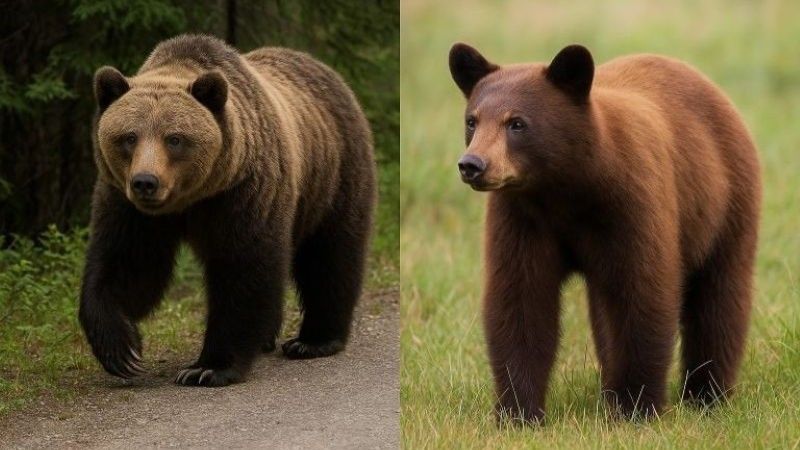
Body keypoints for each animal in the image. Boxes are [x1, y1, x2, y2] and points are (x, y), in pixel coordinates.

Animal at [79, 34, 376, 387]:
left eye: (174, 138)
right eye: (129, 137)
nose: (145, 182)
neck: (190, 199)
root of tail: (328, 72)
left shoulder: (244, 192)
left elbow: (243, 269)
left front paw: (208, 367)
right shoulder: (128, 206)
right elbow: (127, 264)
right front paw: (123, 351)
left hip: (333, 177)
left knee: (329, 255)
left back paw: (313, 340)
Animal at [449, 43, 761, 423]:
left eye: (517, 123)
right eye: (472, 120)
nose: (472, 164)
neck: (567, 188)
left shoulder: (632, 205)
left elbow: (642, 296)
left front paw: (636, 408)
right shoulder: (521, 218)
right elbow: (520, 300)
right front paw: (518, 413)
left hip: (727, 206)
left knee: (719, 303)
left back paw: (707, 396)